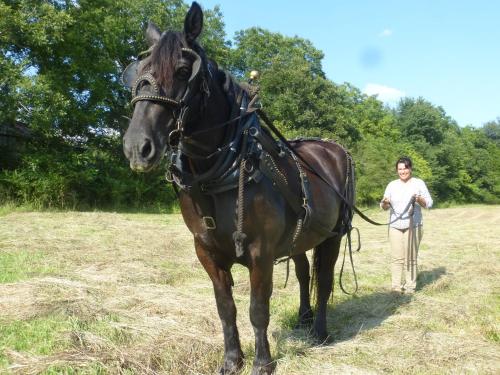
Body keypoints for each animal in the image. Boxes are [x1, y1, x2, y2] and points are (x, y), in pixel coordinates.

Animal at [122, 2, 354, 374]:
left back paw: (320, 330)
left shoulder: (261, 253)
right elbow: (225, 307)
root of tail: (332, 149)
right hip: (302, 235)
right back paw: (304, 318)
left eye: (183, 70)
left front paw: (262, 362)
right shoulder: (207, 253)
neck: (220, 175)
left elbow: (258, 309)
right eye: (138, 72)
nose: (136, 147)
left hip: (332, 235)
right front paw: (232, 359)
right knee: (304, 273)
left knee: (325, 280)